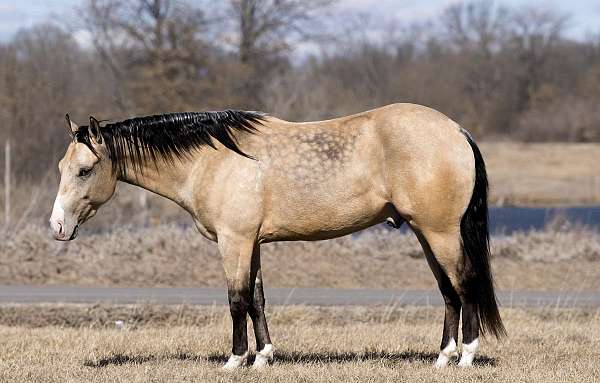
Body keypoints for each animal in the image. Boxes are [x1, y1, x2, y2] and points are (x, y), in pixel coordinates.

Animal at [49, 103, 504, 370]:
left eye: (84, 171)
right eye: (61, 167)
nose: (57, 226)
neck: (213, 158)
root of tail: (457, 131)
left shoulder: (234, 241)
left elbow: (236, 300)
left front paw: (235, 361)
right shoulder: (252, 243)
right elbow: (257, 300)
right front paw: (263, 357)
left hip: (440, 233)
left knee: (464, 285)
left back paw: (466, 357)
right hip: (426, 234)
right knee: (448, 291)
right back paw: (442, 358)